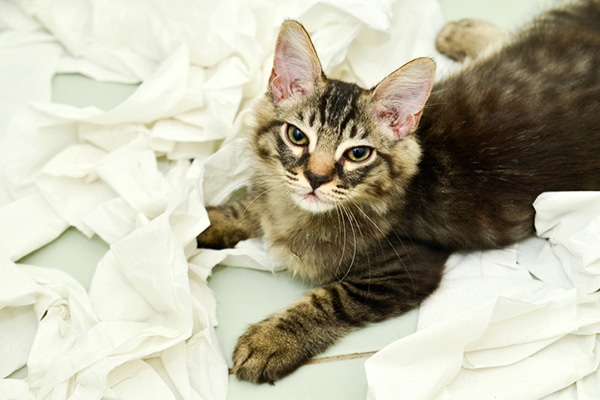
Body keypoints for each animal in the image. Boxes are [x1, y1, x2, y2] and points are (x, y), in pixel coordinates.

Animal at [197, 0, 600, 384]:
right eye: (297, 136)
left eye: (358, 153)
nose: (315, 177)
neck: (298, 215)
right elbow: (248, 208)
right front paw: (205, 222)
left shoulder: (407, 269)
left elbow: (332, 299)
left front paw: (271, 341)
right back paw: (459, 32)